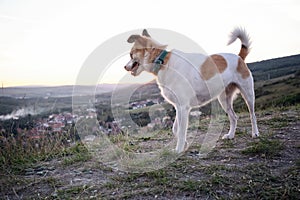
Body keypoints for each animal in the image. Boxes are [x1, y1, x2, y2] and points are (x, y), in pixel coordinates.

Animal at [123, 27, 258, 153]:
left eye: (131, 54)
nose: (124, 67)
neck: (162, 62)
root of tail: (239, 57)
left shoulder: (183, 108)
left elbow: (181, 131)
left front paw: (178, 149)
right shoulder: (178, 107)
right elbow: (175, 129)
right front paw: (185, 144)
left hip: (248, 94)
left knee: (252, 115)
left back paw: (255, 133)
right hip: (224, 100)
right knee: (234, 117)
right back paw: (230, 135)